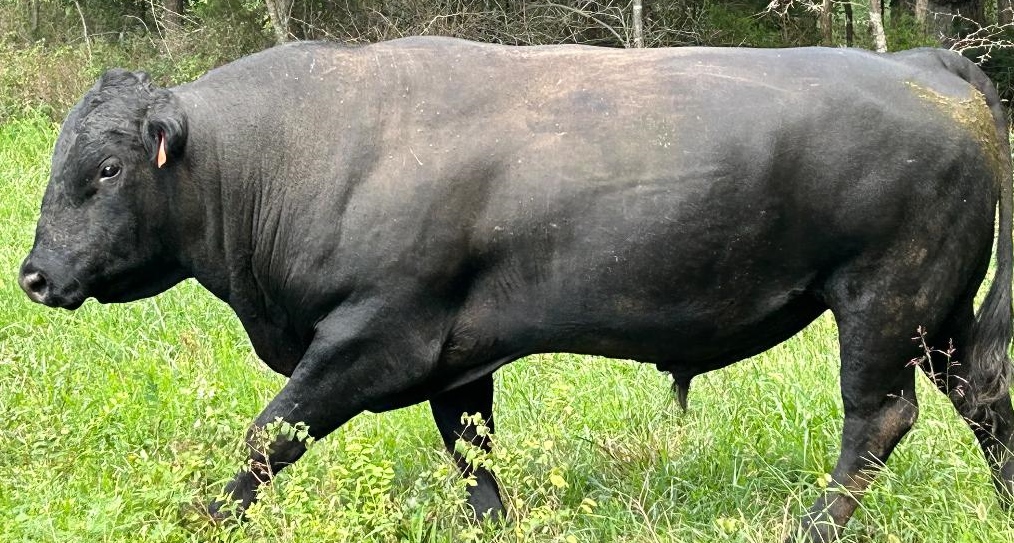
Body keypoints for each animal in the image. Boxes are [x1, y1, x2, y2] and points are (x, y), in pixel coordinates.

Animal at [17, 37, 1014, 541]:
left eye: (105, 168)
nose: (33, 274)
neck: (284, 152)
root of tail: (928, 63)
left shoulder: (377, 334)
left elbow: (271, 434)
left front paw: (199, 517)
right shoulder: (453, 353)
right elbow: (473, 450)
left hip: (885, 299)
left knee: (879, 418)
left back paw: (812, 526)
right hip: (939, 313)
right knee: (987, 398)